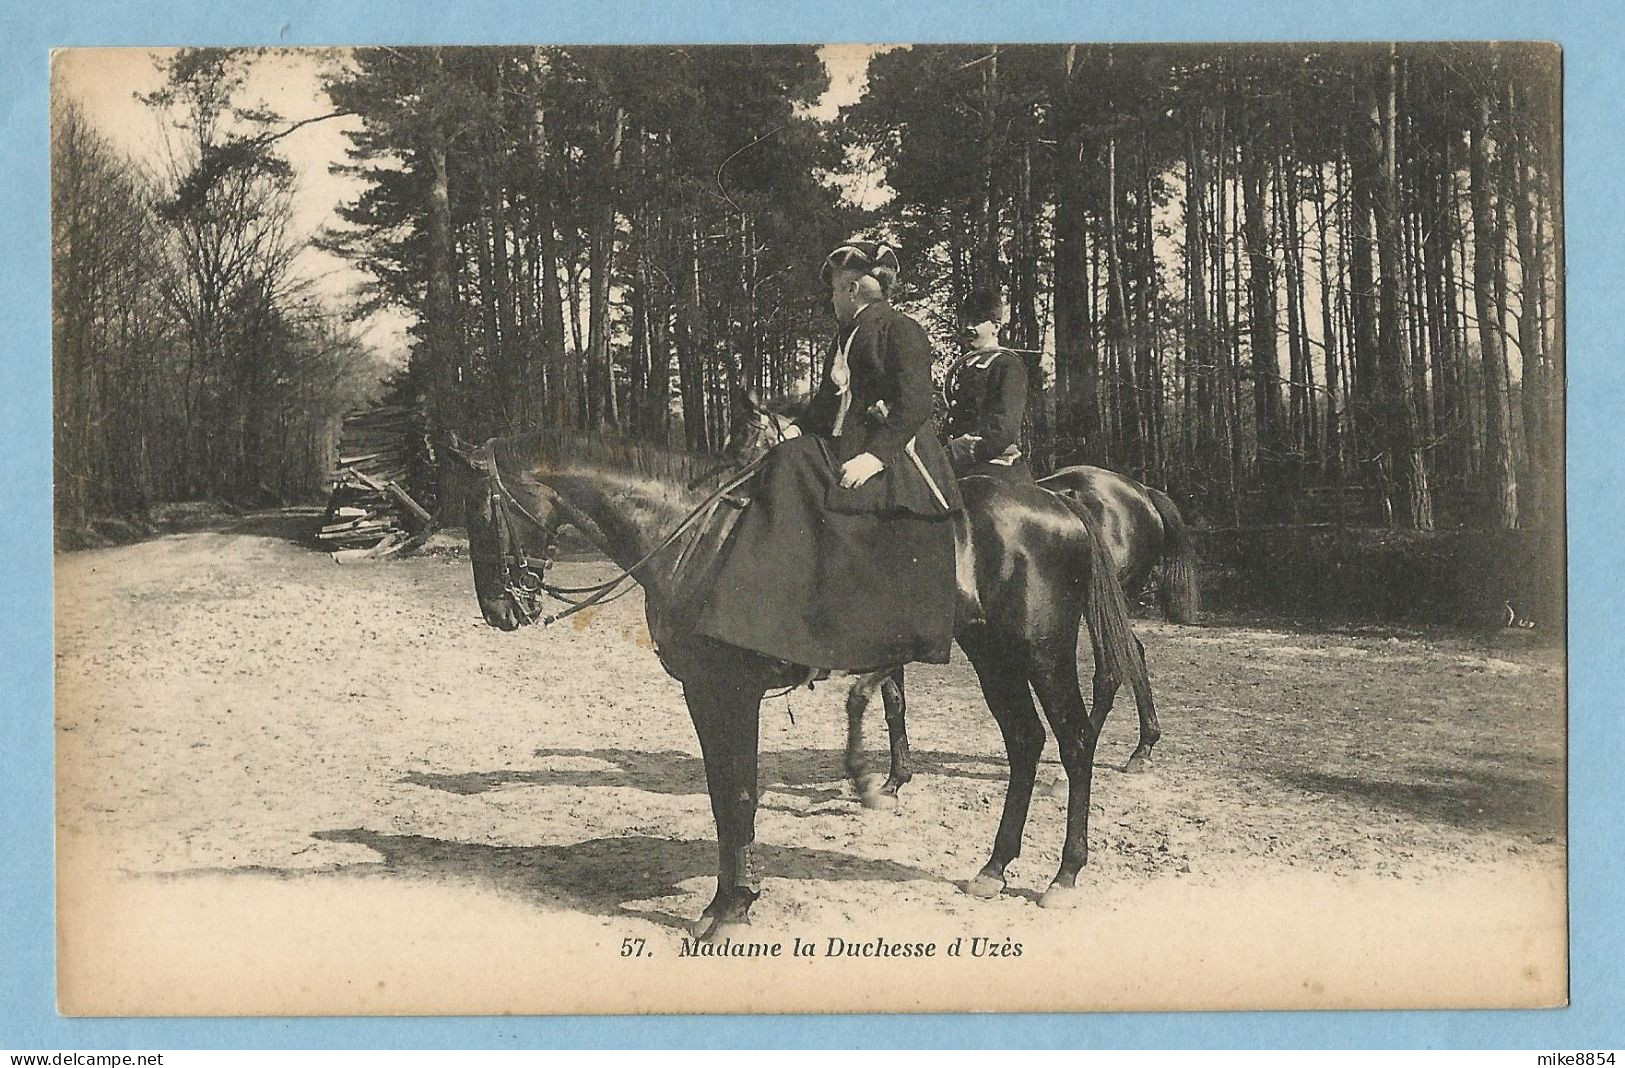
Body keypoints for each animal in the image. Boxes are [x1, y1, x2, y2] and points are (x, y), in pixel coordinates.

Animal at [445, 429, 1157, 936]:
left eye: (482, 512)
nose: (500, 610)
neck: (695, 538)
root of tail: (1060, 501)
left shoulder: (727, 692)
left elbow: (737, 795)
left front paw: (731, 908)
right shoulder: (705, 695)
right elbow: (724, 795)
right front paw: (732, 899)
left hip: (1042, 651)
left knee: (1073, 743)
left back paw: (1064, 874)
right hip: (992, 654)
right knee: (1025, 743)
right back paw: (994, 866)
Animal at [731, 395, 1202, 796]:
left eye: (748, 445)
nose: (731, 497)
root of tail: (1139, 491)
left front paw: (891, 777)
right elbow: (894, 700)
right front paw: (896, 776)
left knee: (1111, 668)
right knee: (1132, 654)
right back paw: (1141, 746)